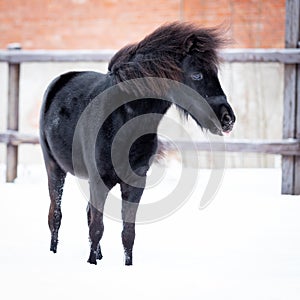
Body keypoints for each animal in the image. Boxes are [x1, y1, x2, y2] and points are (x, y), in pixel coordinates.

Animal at [39, 22, 234, 266]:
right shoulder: (99, 180)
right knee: (55, 215)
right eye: (197, 74)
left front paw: (126, 266)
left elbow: (127, 233)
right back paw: (53, 252)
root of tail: (60, 80)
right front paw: (91, 265)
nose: (227, 119)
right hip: (54, 167)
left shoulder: (135, 182)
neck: (124, 118)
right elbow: (97, 228)